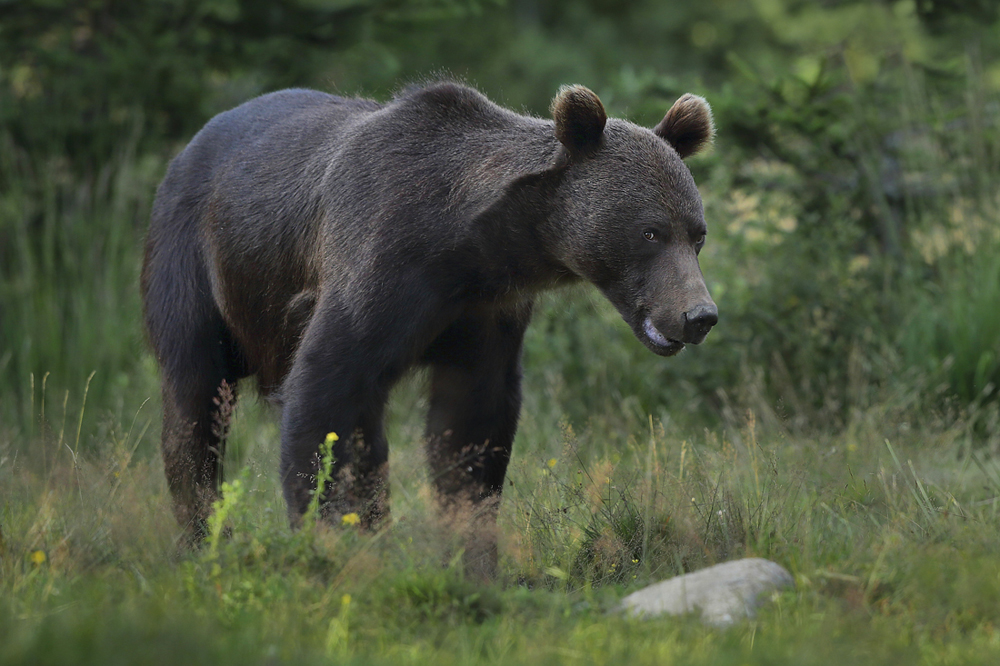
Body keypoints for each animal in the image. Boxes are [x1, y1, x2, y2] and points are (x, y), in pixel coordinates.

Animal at [143, 80, 720, 572]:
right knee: (194, 399)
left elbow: (471, 427)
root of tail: (188, 147)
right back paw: (205, 537)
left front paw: (472, 559)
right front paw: (328, 543)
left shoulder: (486, 315)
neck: (469, 245)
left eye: (697, 235)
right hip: (194, 261)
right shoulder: (379, 268)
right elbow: (324, 393)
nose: (698, 315)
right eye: (649, 232)